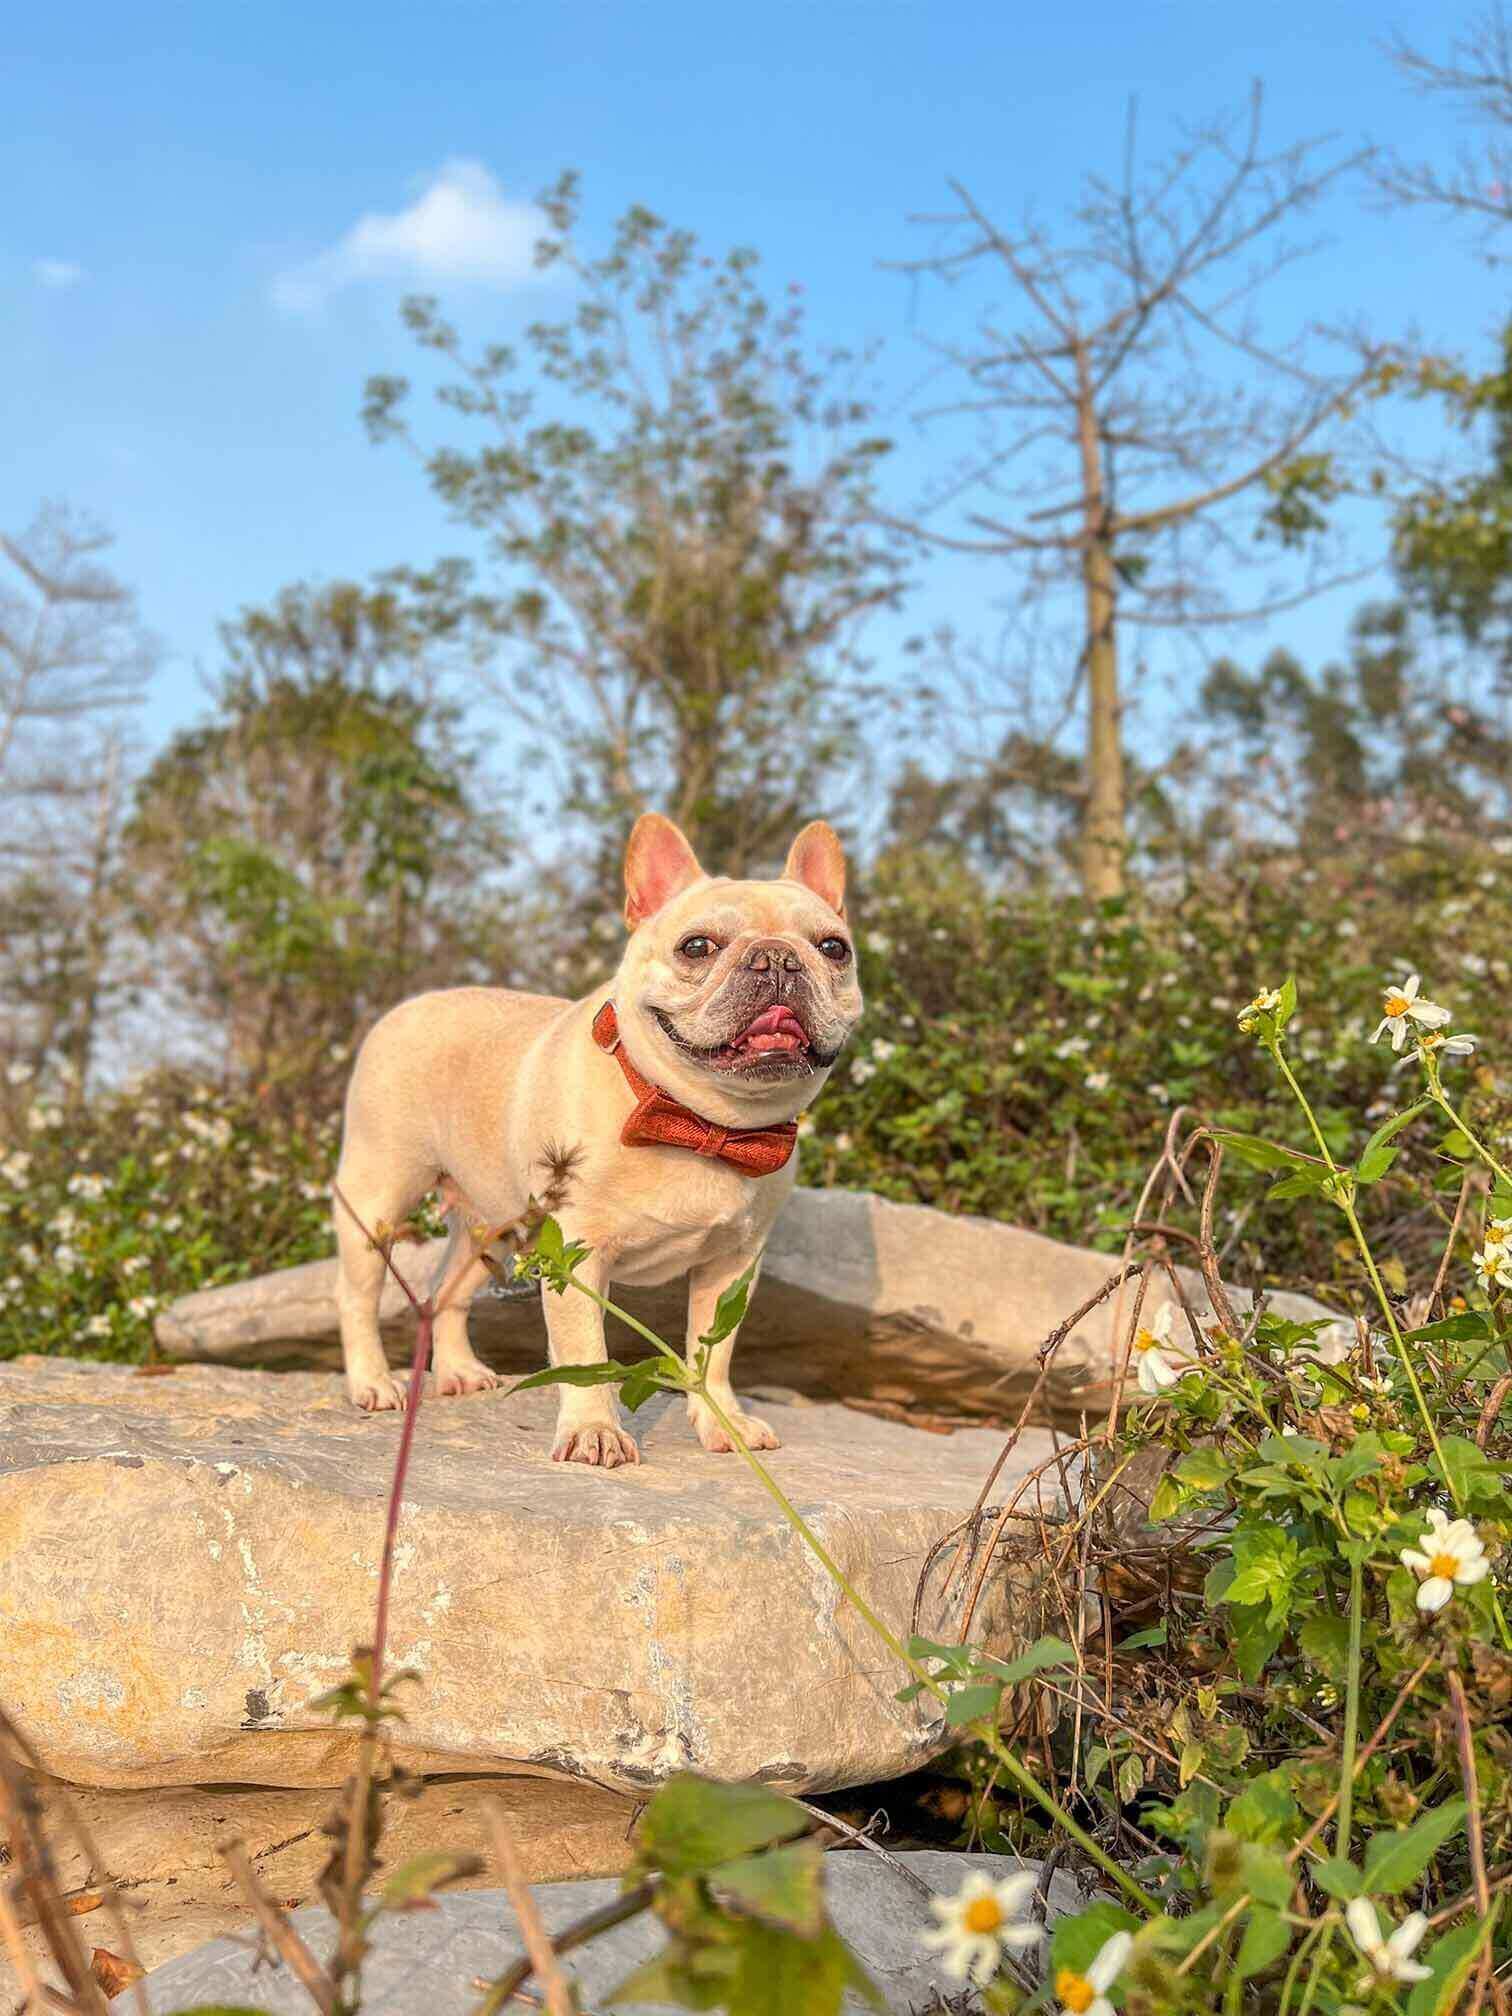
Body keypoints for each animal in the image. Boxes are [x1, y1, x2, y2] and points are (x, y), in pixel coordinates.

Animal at [338, 814, 870, 1467]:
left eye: (834, 948)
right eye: (697, 947)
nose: (777, 958)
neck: (700, 1123)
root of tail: (408, 1007)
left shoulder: (733, 1265)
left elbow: (713, 1351)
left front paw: (724, 1420)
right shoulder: (577, 1255)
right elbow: (585, 1350)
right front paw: (595, 1429)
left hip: (493, 1228)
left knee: (449, 1291)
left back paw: (460, 1370)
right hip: (379, 1197)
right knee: (357, 1294)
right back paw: (372, 1381)